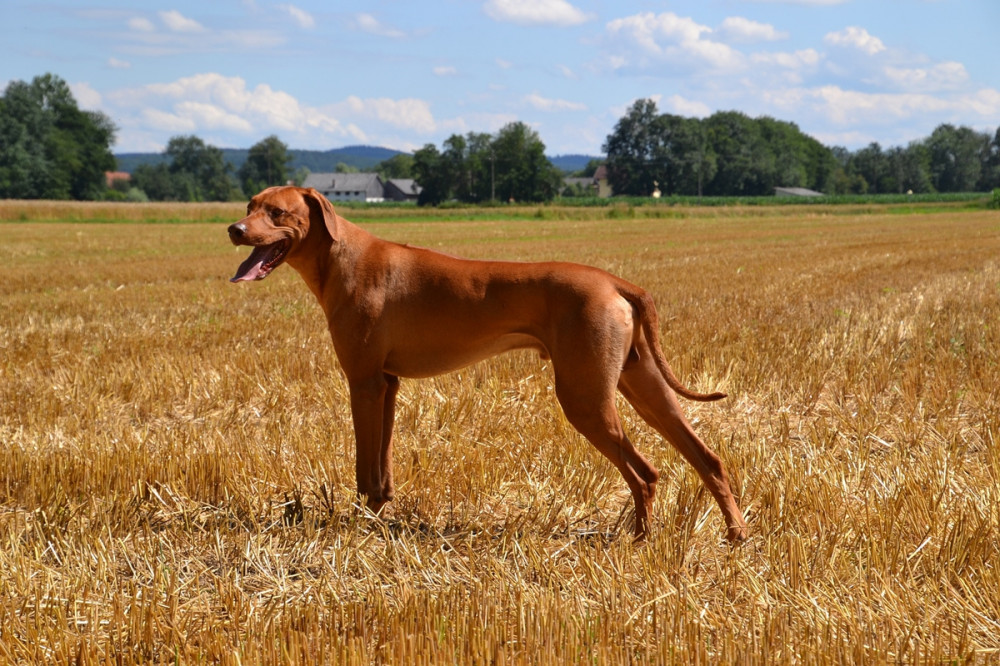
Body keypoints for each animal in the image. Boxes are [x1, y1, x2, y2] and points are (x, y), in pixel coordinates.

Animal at [225, 187, 744, 540]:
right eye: (250, 204)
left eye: (276, 212)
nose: (234, 229)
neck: (341, 256)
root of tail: (617, 282)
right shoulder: (388, 384)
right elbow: (382, 463)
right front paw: (379, 512)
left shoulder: (364, 381)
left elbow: (363, 463)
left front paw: (358, 521)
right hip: (643, 388)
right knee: (707, 458)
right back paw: (735, 534)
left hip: (586, 398)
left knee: (645, 472)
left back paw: (639, 540)